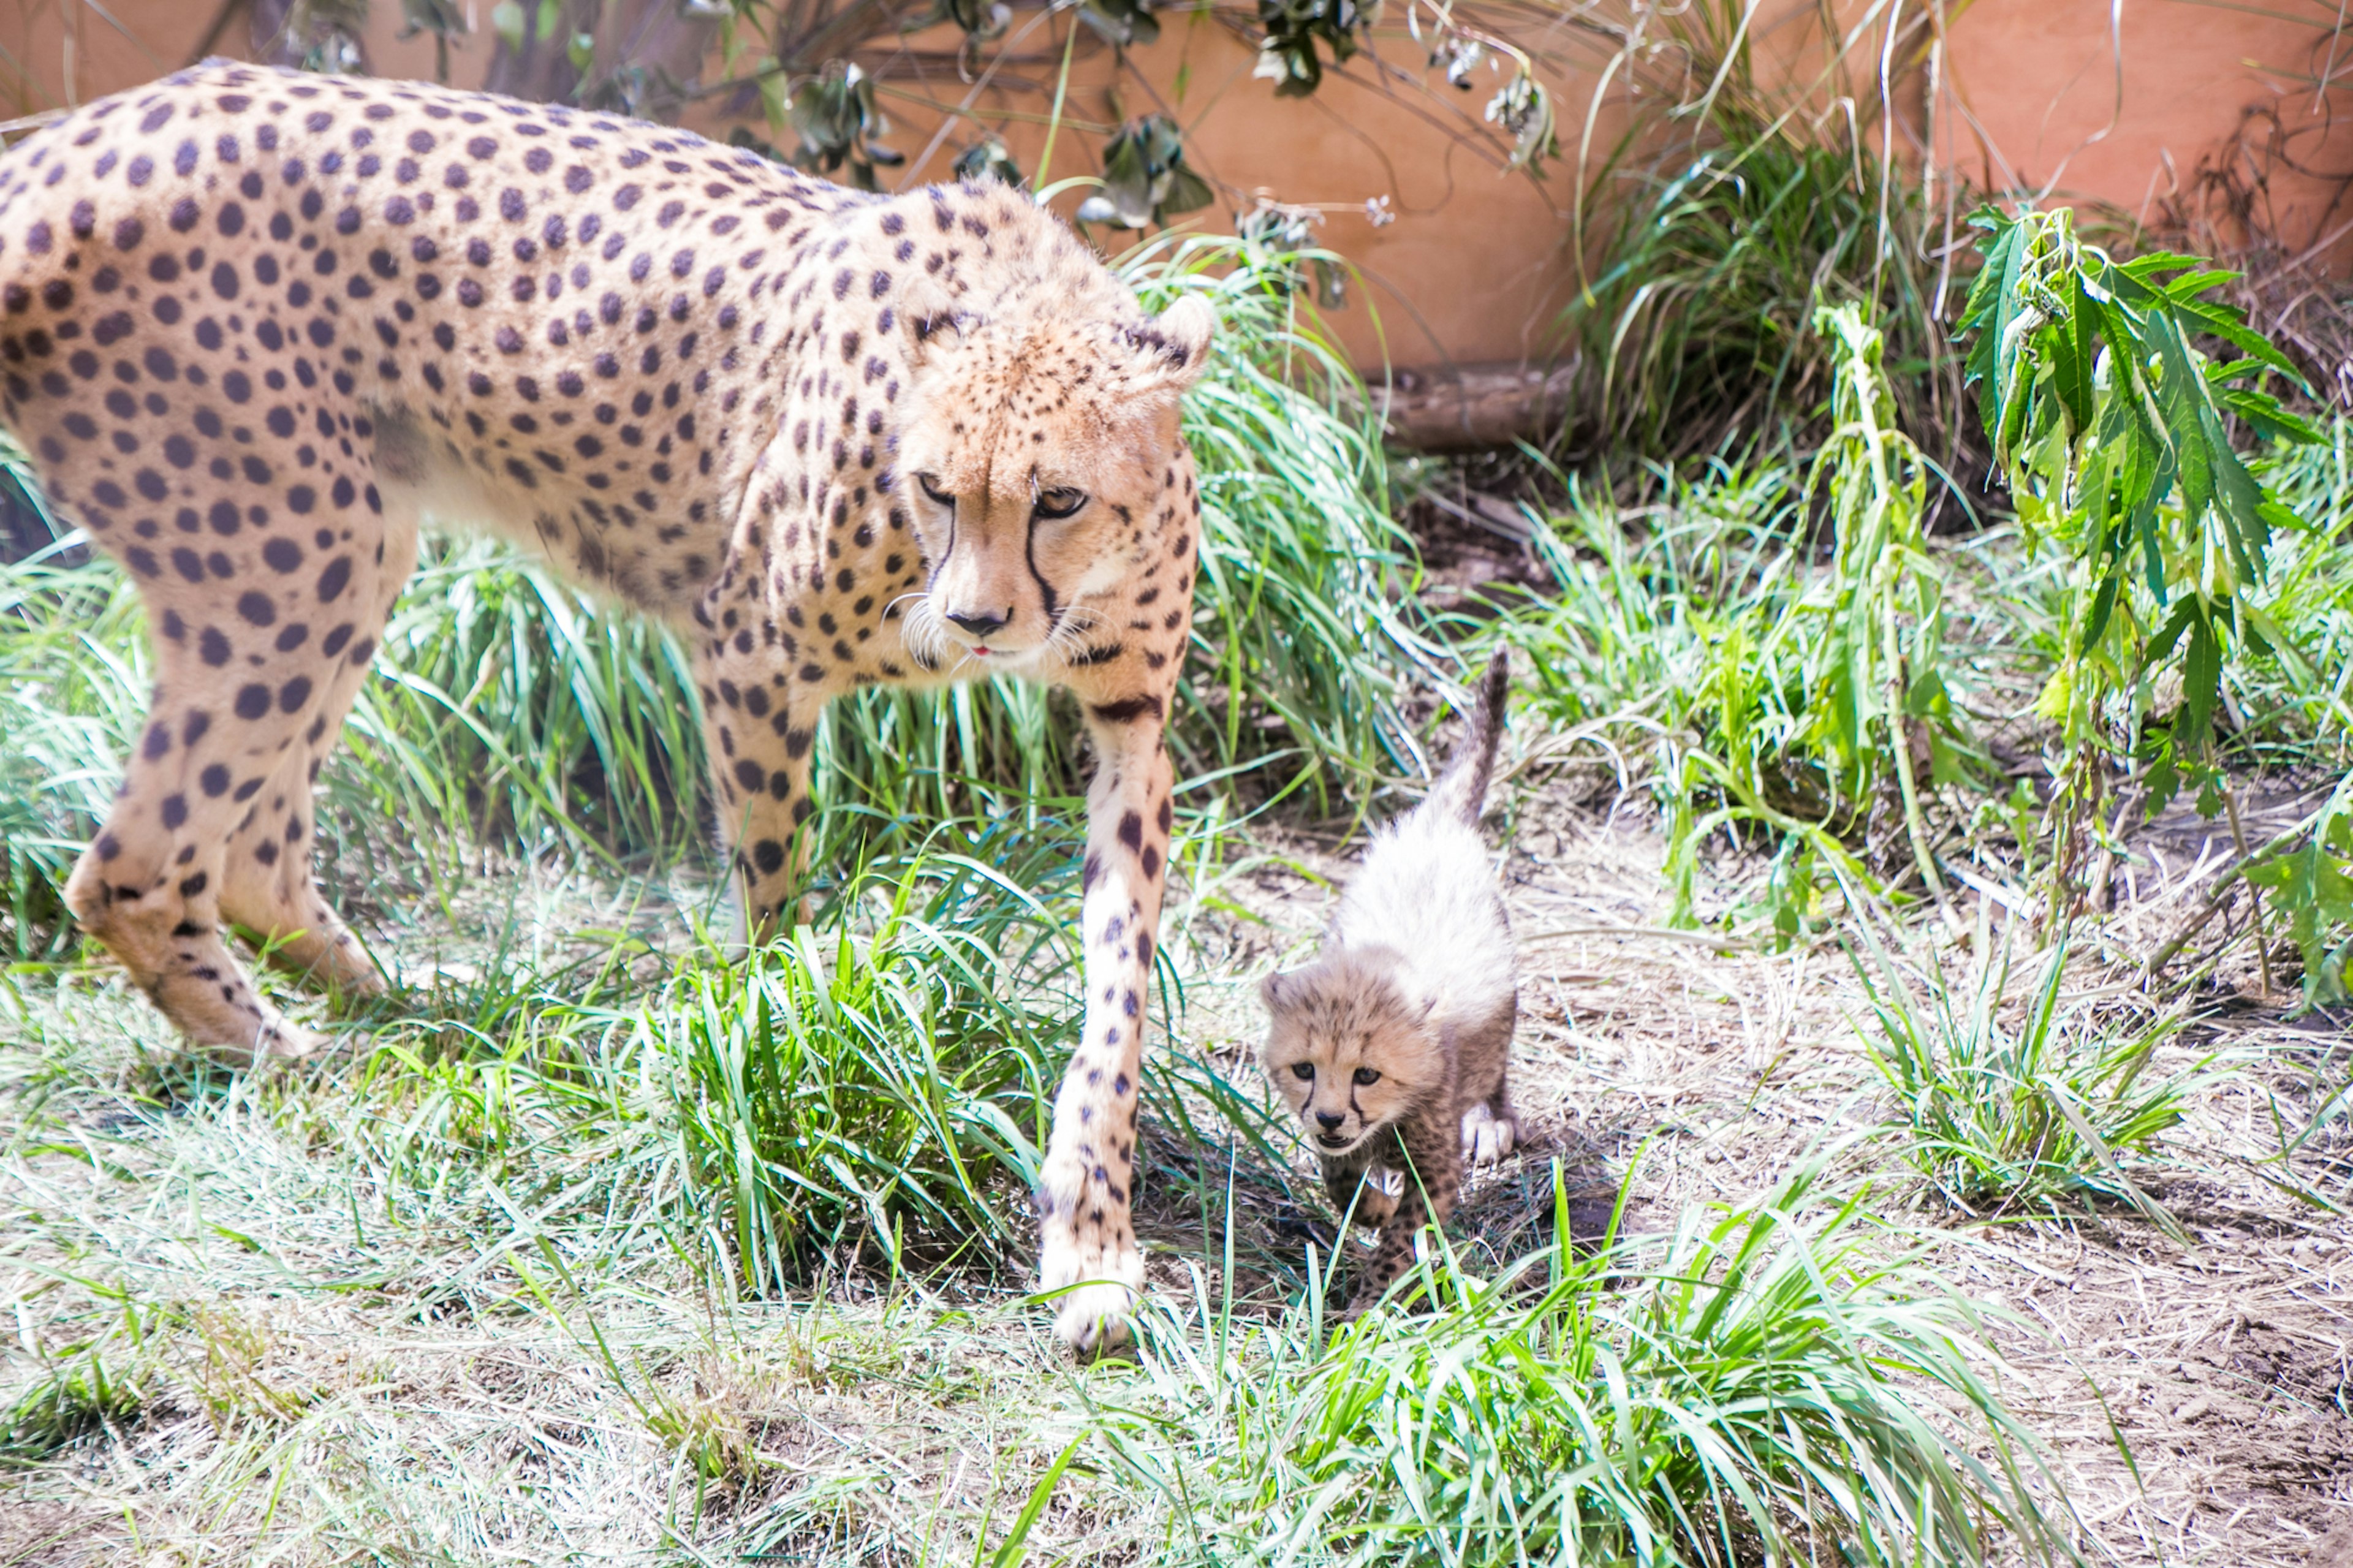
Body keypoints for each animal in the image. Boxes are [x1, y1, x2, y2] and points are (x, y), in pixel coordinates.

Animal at [0, 67, 1214, 1346]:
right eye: (936, 487)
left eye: (1059, 498)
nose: (979, 621)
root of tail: (79, 137)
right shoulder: (749, 650)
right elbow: (775, 899)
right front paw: (786, 1046)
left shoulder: (1134, 724)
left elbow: (1121, 994)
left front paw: (1092, 1238)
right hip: (298, 551)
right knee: (133, 868)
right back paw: (303, 1060)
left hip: (350, 544)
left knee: (250, 850)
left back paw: (415, 1014)